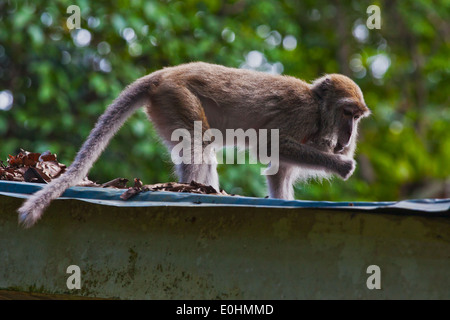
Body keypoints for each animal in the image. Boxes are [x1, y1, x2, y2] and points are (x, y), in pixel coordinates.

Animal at [16, 62, 370, 228]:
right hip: (177, 97)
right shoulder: (302, 116)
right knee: (199, 142)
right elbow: (276, 146)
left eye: (357, 117)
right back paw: (193, 190)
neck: (319, 109)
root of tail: (163, 74)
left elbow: (278, 171)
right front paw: (341, 165)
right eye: (347, 113)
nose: (350, 136)